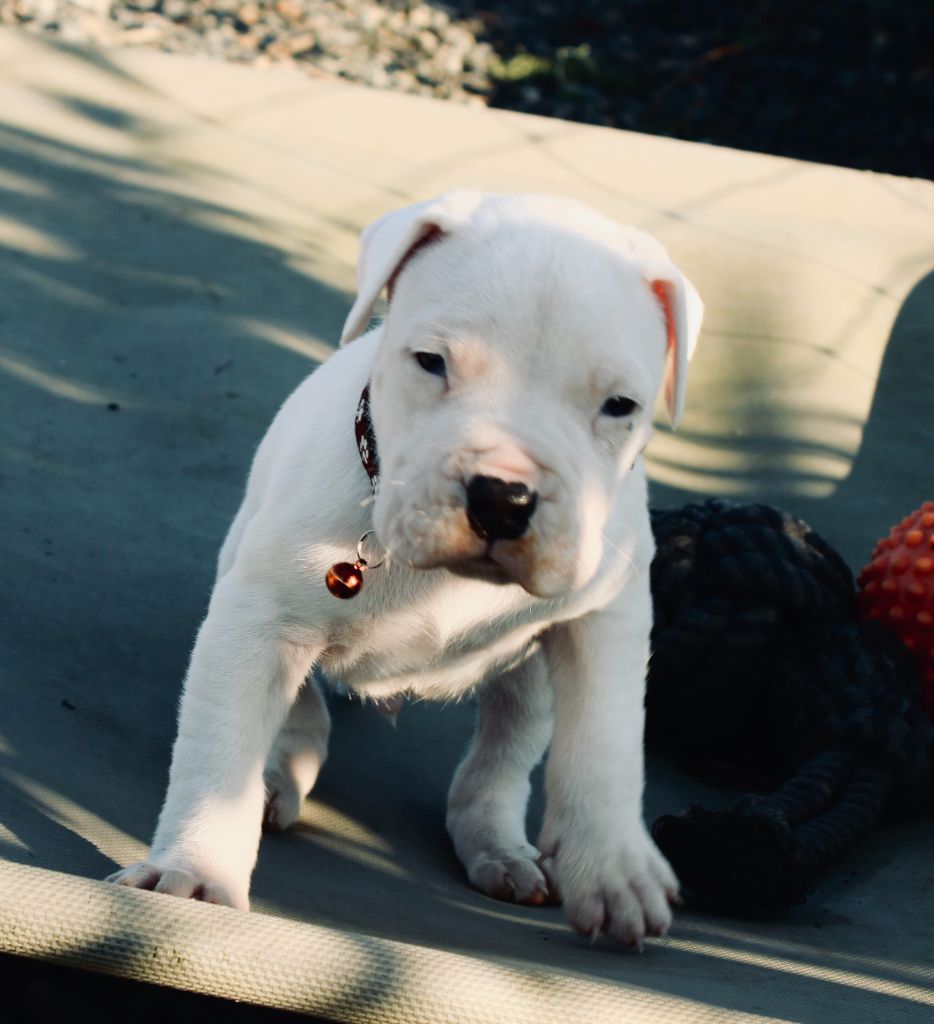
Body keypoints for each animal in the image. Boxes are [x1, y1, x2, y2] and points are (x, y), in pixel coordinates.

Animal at [107, 190, 700, 942]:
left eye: (621, 406)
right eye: (430, 362)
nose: (502, 497)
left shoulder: (607, 612)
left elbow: (606, 737)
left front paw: (614, 866)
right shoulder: (257, 617)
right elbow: (220, 749)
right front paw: (194, 875)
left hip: (527, 671)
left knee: (507, 745)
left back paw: (496, 843)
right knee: (298, 707)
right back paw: (278, 768)